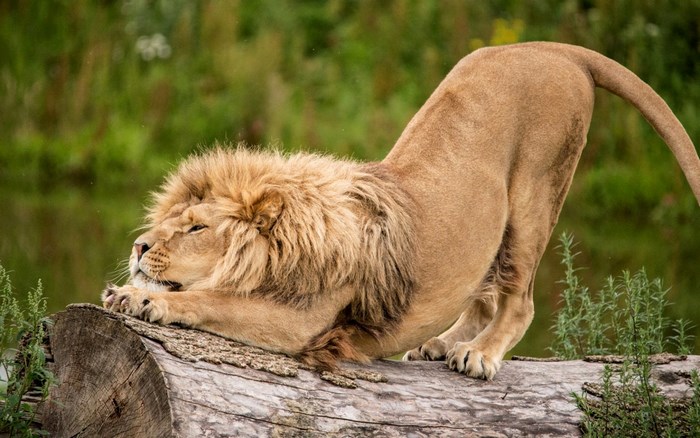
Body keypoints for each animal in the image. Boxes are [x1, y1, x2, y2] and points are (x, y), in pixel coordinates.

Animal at [103, 42, 700, 380]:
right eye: (164, 224)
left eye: (197, 228)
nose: (138, 246)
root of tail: (559, 49)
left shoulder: (307, 319)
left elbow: (213, 300)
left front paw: (139, 298)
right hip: (489, 230)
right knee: (483, 293)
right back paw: (441, 345)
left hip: (535, 194)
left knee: (520, 300)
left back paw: (480, 356)